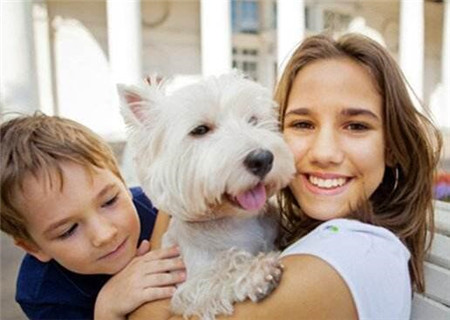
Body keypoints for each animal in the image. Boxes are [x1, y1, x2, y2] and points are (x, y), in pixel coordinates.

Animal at [118, 72, 296, 320]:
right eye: (200, 130)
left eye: (253, 120)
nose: (262, 159)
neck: (234, 221)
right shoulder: (186, 283)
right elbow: (217, 274)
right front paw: (257, 272)